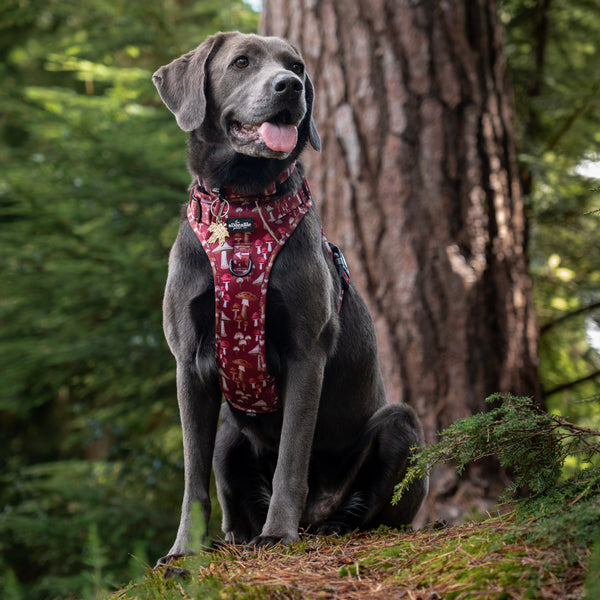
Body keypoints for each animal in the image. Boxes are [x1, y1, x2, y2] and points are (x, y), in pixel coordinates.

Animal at [152, 30, 428, 564]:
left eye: (297, 67)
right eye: (241, 62)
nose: (289, 87)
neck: (242, 210)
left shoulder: (307, 353)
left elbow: (291, 460)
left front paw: (278, 534)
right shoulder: (187, 363)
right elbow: (193, 477)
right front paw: (183, 551)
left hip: (400, 424)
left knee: (370, 512)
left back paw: (327, 526)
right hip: (230, 435)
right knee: (232, 501)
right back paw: (237, 537)